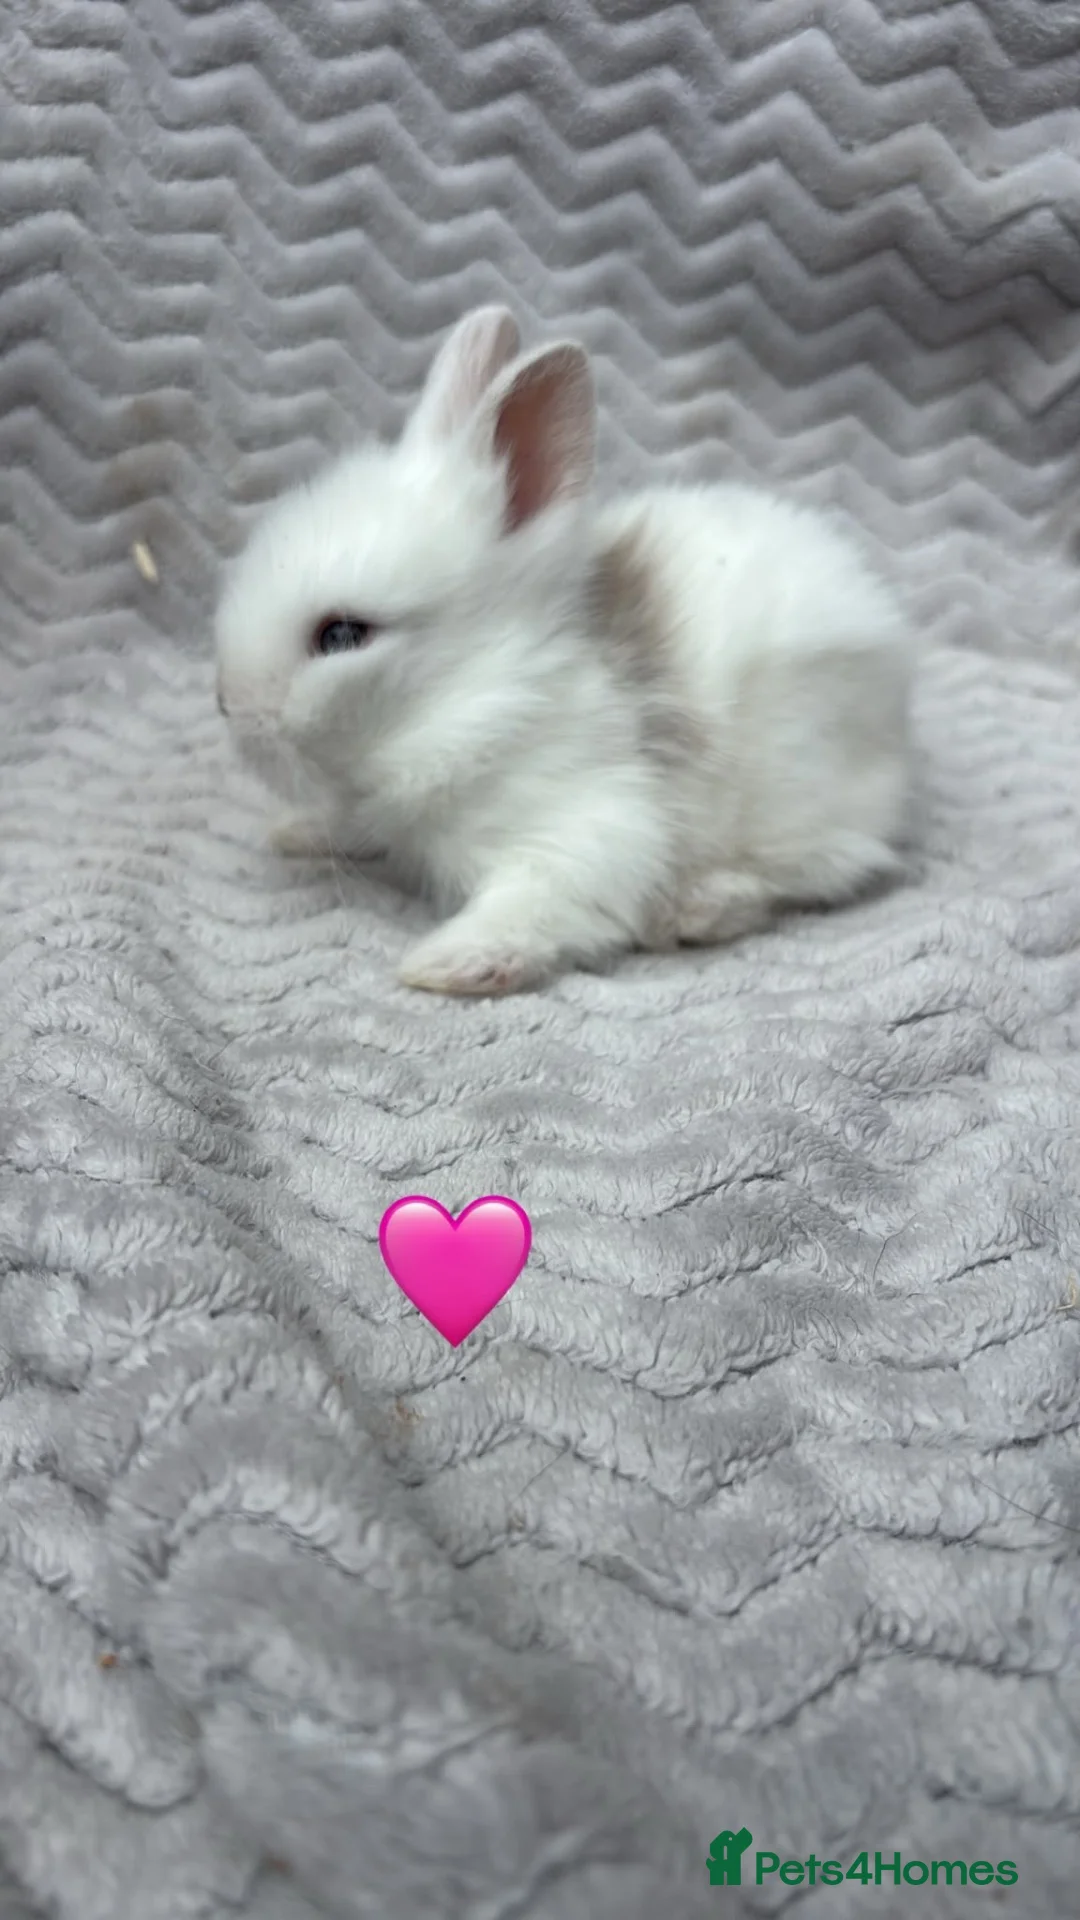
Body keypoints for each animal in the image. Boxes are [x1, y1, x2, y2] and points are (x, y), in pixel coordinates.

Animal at [215, 305, 914, 996]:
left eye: (342, 635)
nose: (226, 703)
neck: (477, 691)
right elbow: (356, 823)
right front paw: (299, 831)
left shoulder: (589, 829)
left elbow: (533, 903)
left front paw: (448, 964)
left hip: (797, 803)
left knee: (822, 869)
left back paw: (696, 909)